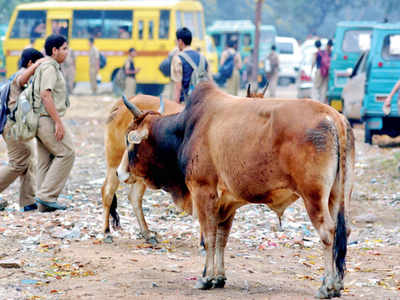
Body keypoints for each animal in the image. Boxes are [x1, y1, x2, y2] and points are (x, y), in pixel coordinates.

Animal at [117, 81, 354, 298]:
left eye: (130, 140)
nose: (120, 172)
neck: (185, 130)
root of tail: (333, 117)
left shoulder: (203, 191)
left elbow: (209, 237)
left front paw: (205, 278)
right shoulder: (227, 203)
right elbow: (221, 238)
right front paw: (218, 277)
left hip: (313, 196)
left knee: (328, 231)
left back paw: (327, 286)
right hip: (337, 195)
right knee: (344, 231)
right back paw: (337, 283)